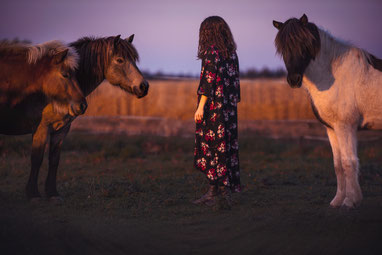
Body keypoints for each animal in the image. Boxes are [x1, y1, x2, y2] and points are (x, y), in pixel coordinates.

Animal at [0, 34, 149, 201]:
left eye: (134, 59)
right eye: (120, 60)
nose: (144, 86)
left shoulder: (61, 129)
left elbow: (54, 160)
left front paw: (52, 193)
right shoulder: (41, 128)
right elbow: (37, 159)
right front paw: (33, 194)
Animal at [274, 13, 382, 208]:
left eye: (304, 44)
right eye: (283, 48)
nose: (294, 80)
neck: (335, 76)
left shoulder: (346, 127)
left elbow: (349, 162)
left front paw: (350, 201)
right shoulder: (332, 129)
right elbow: (338, 165)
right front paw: (337, 200)